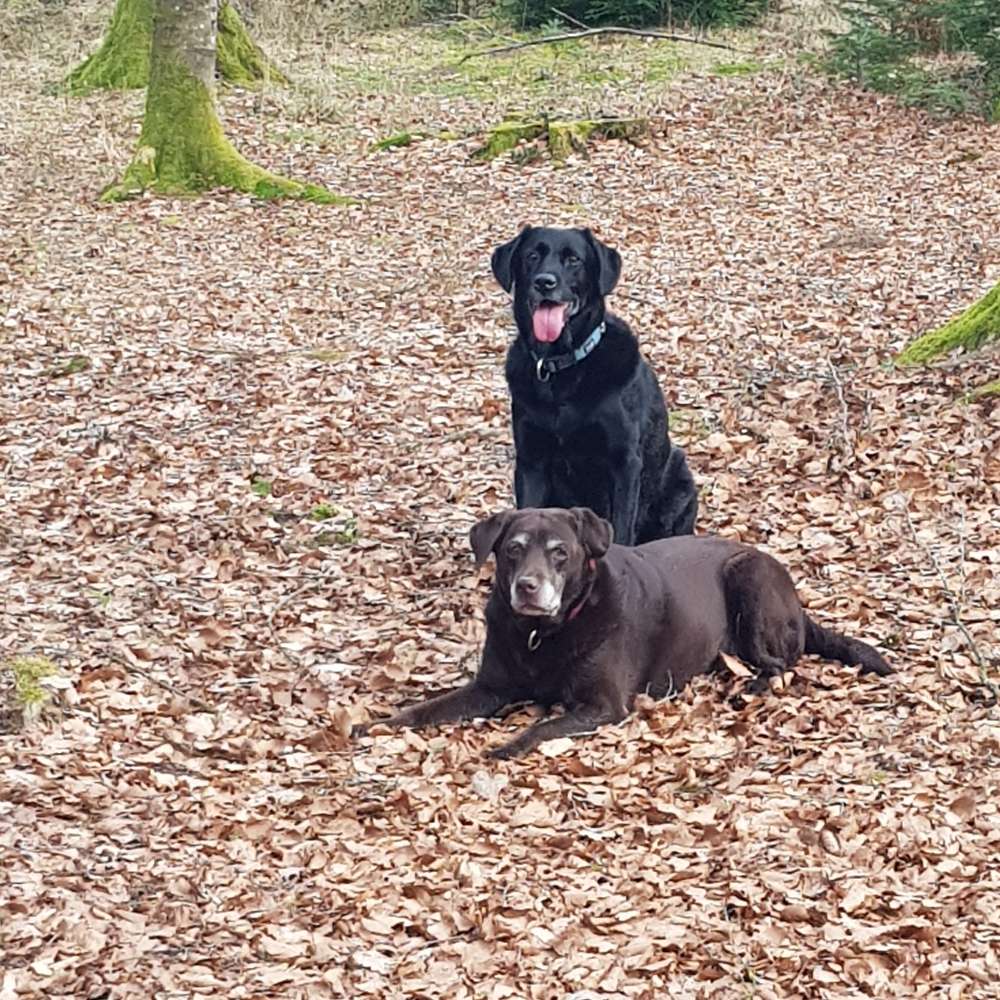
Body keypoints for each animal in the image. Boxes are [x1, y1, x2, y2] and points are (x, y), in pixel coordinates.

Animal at [490, 225, 696, 548]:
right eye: (532, 256)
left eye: (574, 259)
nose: (544, 282)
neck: (561, 368)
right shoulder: (531, 461)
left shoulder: (624, 463)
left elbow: (621, 531)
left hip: (681, 479)